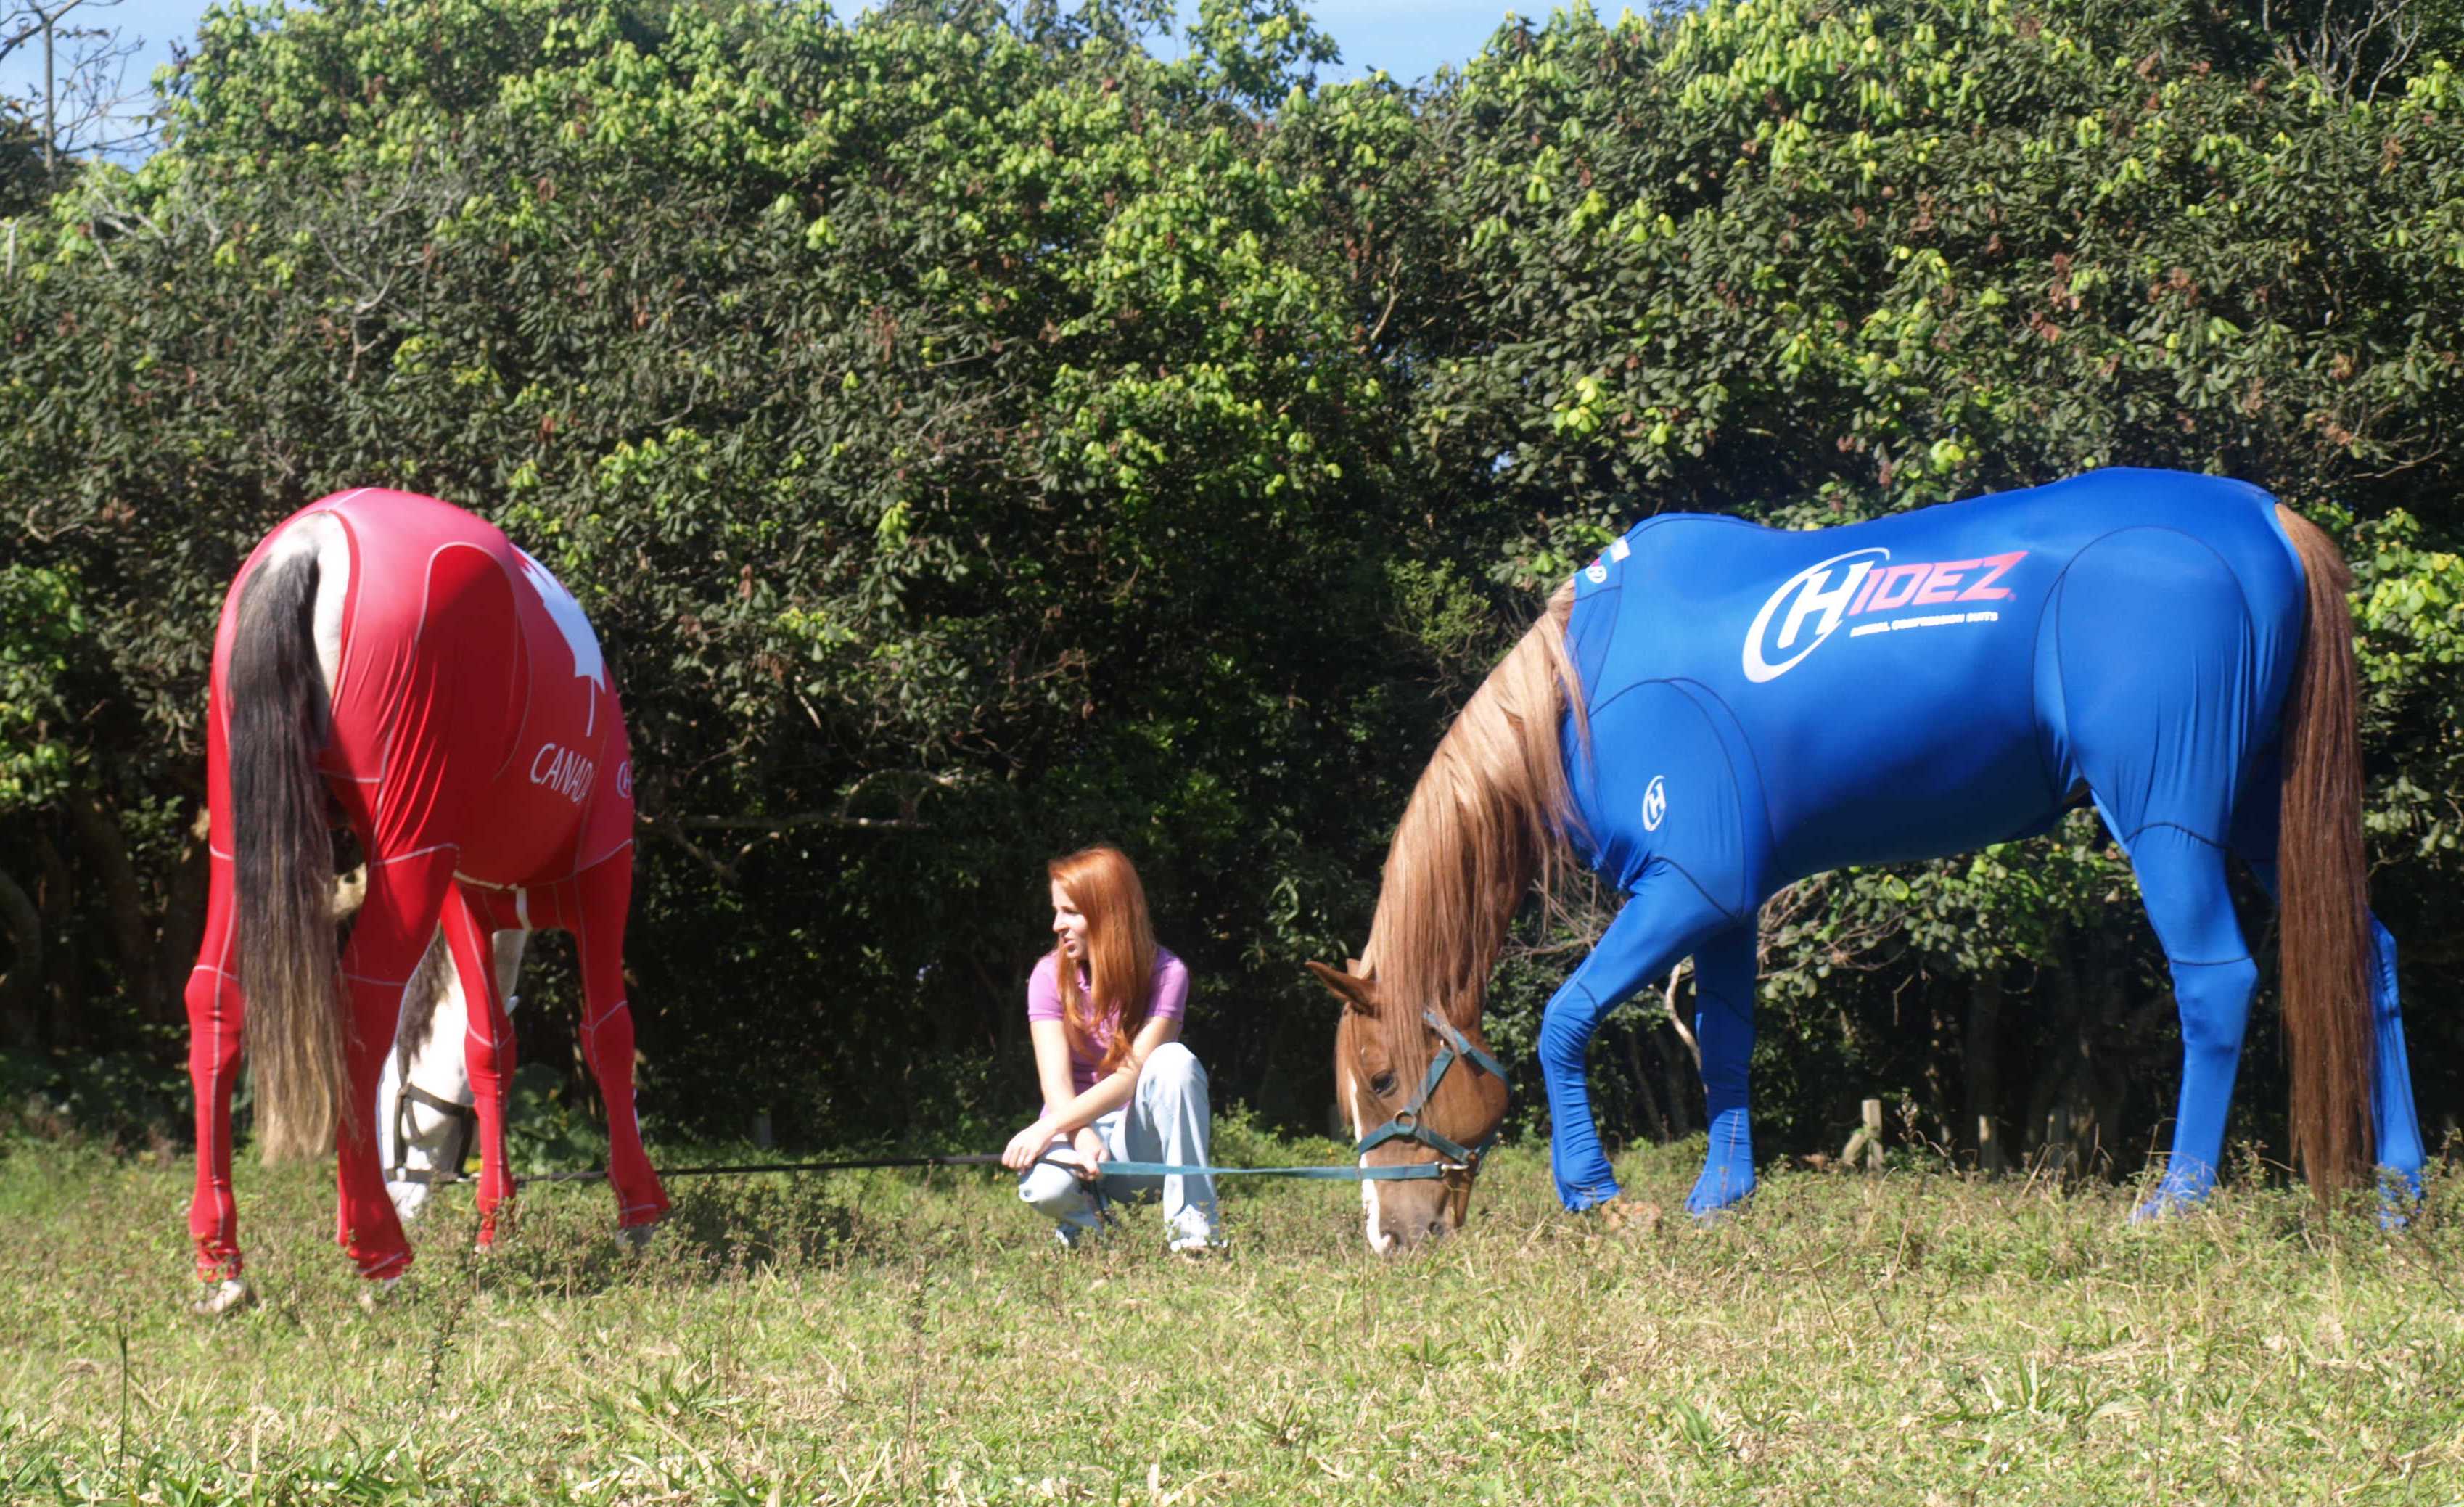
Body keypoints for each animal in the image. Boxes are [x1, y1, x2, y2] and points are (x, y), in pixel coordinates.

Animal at [1310, 467, 2424, 1246]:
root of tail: (2271, 520)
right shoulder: (1727, 902)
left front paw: (1605, 1199)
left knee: (2216, 979)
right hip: (2264, 809)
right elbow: (1725, 1043)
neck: (1575, 688)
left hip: (2168, 812)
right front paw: (1719, 1199)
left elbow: (1564, 1018)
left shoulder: (1688, 884)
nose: (1388, 1236)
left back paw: (2175, 1203)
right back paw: (2399, 1198)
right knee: (2367, 959)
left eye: (1381, 1073)